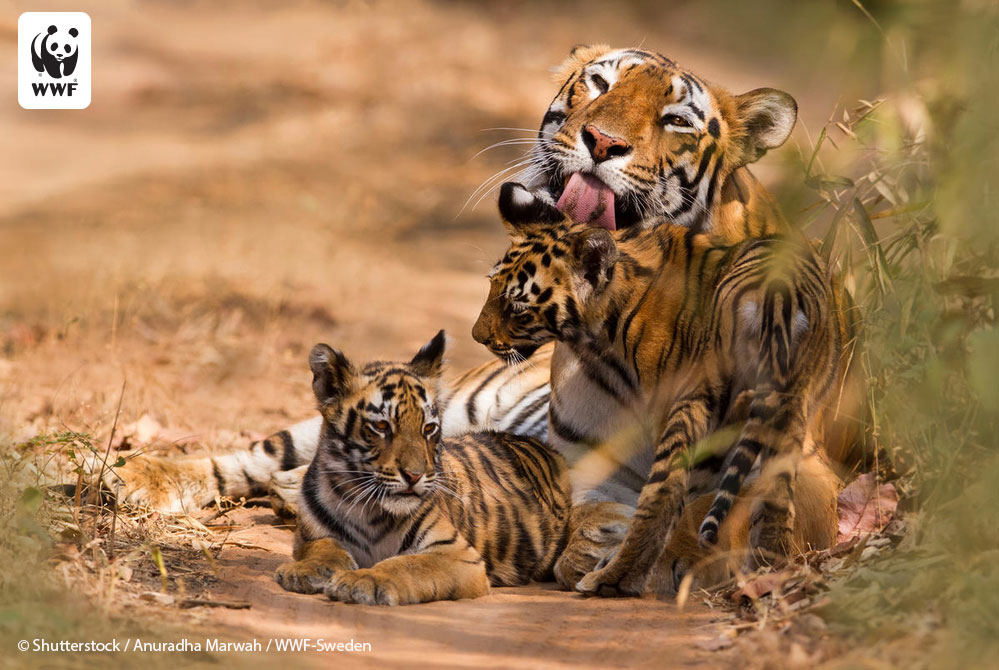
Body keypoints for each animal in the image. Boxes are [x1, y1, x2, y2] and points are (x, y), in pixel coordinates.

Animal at [274, 330, 570, 605]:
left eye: (428, 428)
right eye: (381, 426)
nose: (414, 476)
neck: (365, 509)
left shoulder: (457, 555)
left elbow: (406, 565)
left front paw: (363, 580)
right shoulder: (311, 536)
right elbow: (323, 549)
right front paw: (302, 570)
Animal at [471, 181, 842, 596]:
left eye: (517, 308)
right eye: (491, 286)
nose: (477, 336)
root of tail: (776, 295)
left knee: (666, 498)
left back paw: (613, 579)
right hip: (786, 411)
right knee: (774, 497)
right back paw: (767, 571)